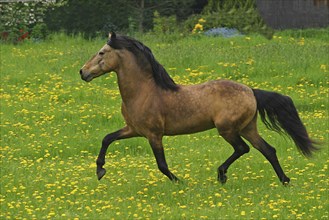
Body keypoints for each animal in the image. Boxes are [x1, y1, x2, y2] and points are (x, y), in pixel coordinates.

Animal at [78, 32, 316, 184]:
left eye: (101, 53)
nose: (82, 72)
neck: (144, 92)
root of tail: (250, 91)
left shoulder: (154, 134)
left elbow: (161, 165)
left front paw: (180, 182)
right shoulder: (133, 130)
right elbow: (107, 138)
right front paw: (100, 170)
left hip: (227, 129)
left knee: (243, 149)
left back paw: (221, 175)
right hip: (247, 127)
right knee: (268, 150)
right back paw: (285, 180)